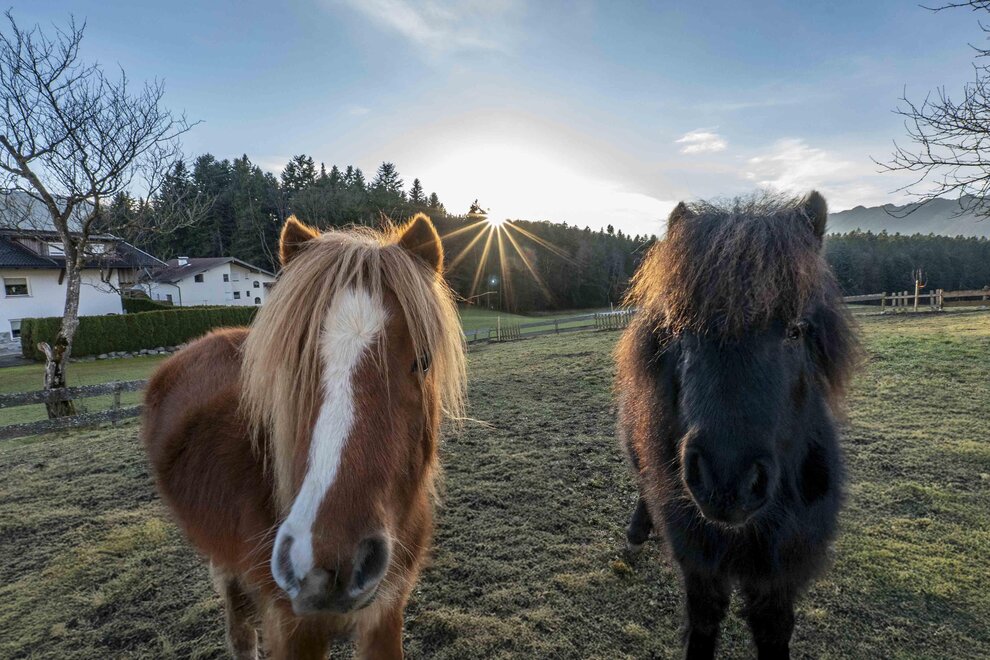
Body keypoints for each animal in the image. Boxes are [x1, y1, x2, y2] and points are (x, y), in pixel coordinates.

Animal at [141, 213, 466, 659]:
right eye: (295, 363)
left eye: (423, 361)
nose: (328, 567)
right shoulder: (292, 630)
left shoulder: (386, 613)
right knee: (240, 629)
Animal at [615, 192, 859, 659]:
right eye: (678, 329)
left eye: (796, 330)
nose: (727, 479)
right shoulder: (699, 561)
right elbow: (703, 623)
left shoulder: (780, 573)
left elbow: (773, 629)